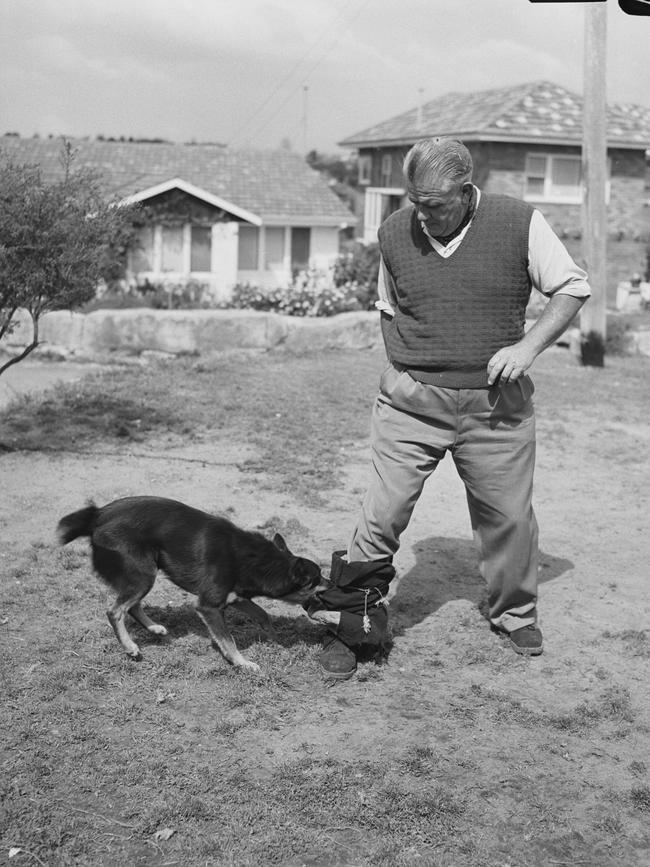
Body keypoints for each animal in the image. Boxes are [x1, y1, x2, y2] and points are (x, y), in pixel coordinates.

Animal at [58, 496, 324, 672]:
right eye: (316, 580)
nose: (330, 582)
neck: (257, 559)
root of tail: (98, 515)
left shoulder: (235, 598)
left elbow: (263, 615)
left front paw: (275, 639)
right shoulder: (209, 606)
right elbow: (228, 640)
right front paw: (242, 663)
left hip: (143, 575)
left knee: (131, 606)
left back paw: (154, 628)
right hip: (144, 574)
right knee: (115, 611)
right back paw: (130, 647)